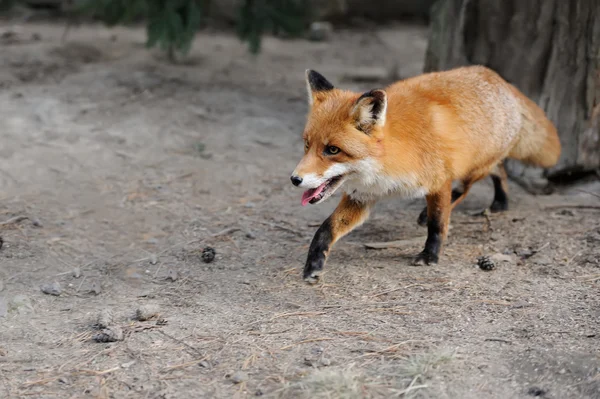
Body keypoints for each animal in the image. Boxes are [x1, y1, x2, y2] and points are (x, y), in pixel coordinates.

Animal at [290, 66, 564, 284]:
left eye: (333, 150)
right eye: (307, 145)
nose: (295, 179)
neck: (387, 161)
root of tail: (500, 80)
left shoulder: (439, 180)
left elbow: (437, 223)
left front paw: (430, 255)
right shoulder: (362, 197)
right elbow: (326, 229)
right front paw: (314, 264)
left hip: (470, 167)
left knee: (469, 186)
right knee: (501, 170)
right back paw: (500, 202)